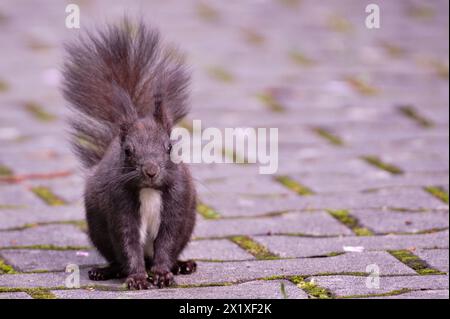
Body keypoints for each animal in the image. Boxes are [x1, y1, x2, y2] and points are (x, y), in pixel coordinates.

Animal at [61, 19, 197, 290]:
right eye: (127, 151)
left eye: (170, 147)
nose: (151, 171)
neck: (149, 190)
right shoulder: (120, 205)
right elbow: (128, 243)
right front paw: (137, 278)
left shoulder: (177, 202)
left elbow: (167, 242)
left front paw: (163, 274)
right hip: (99, 231)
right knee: (117, 258)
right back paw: (104, 271)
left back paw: (182, 265)